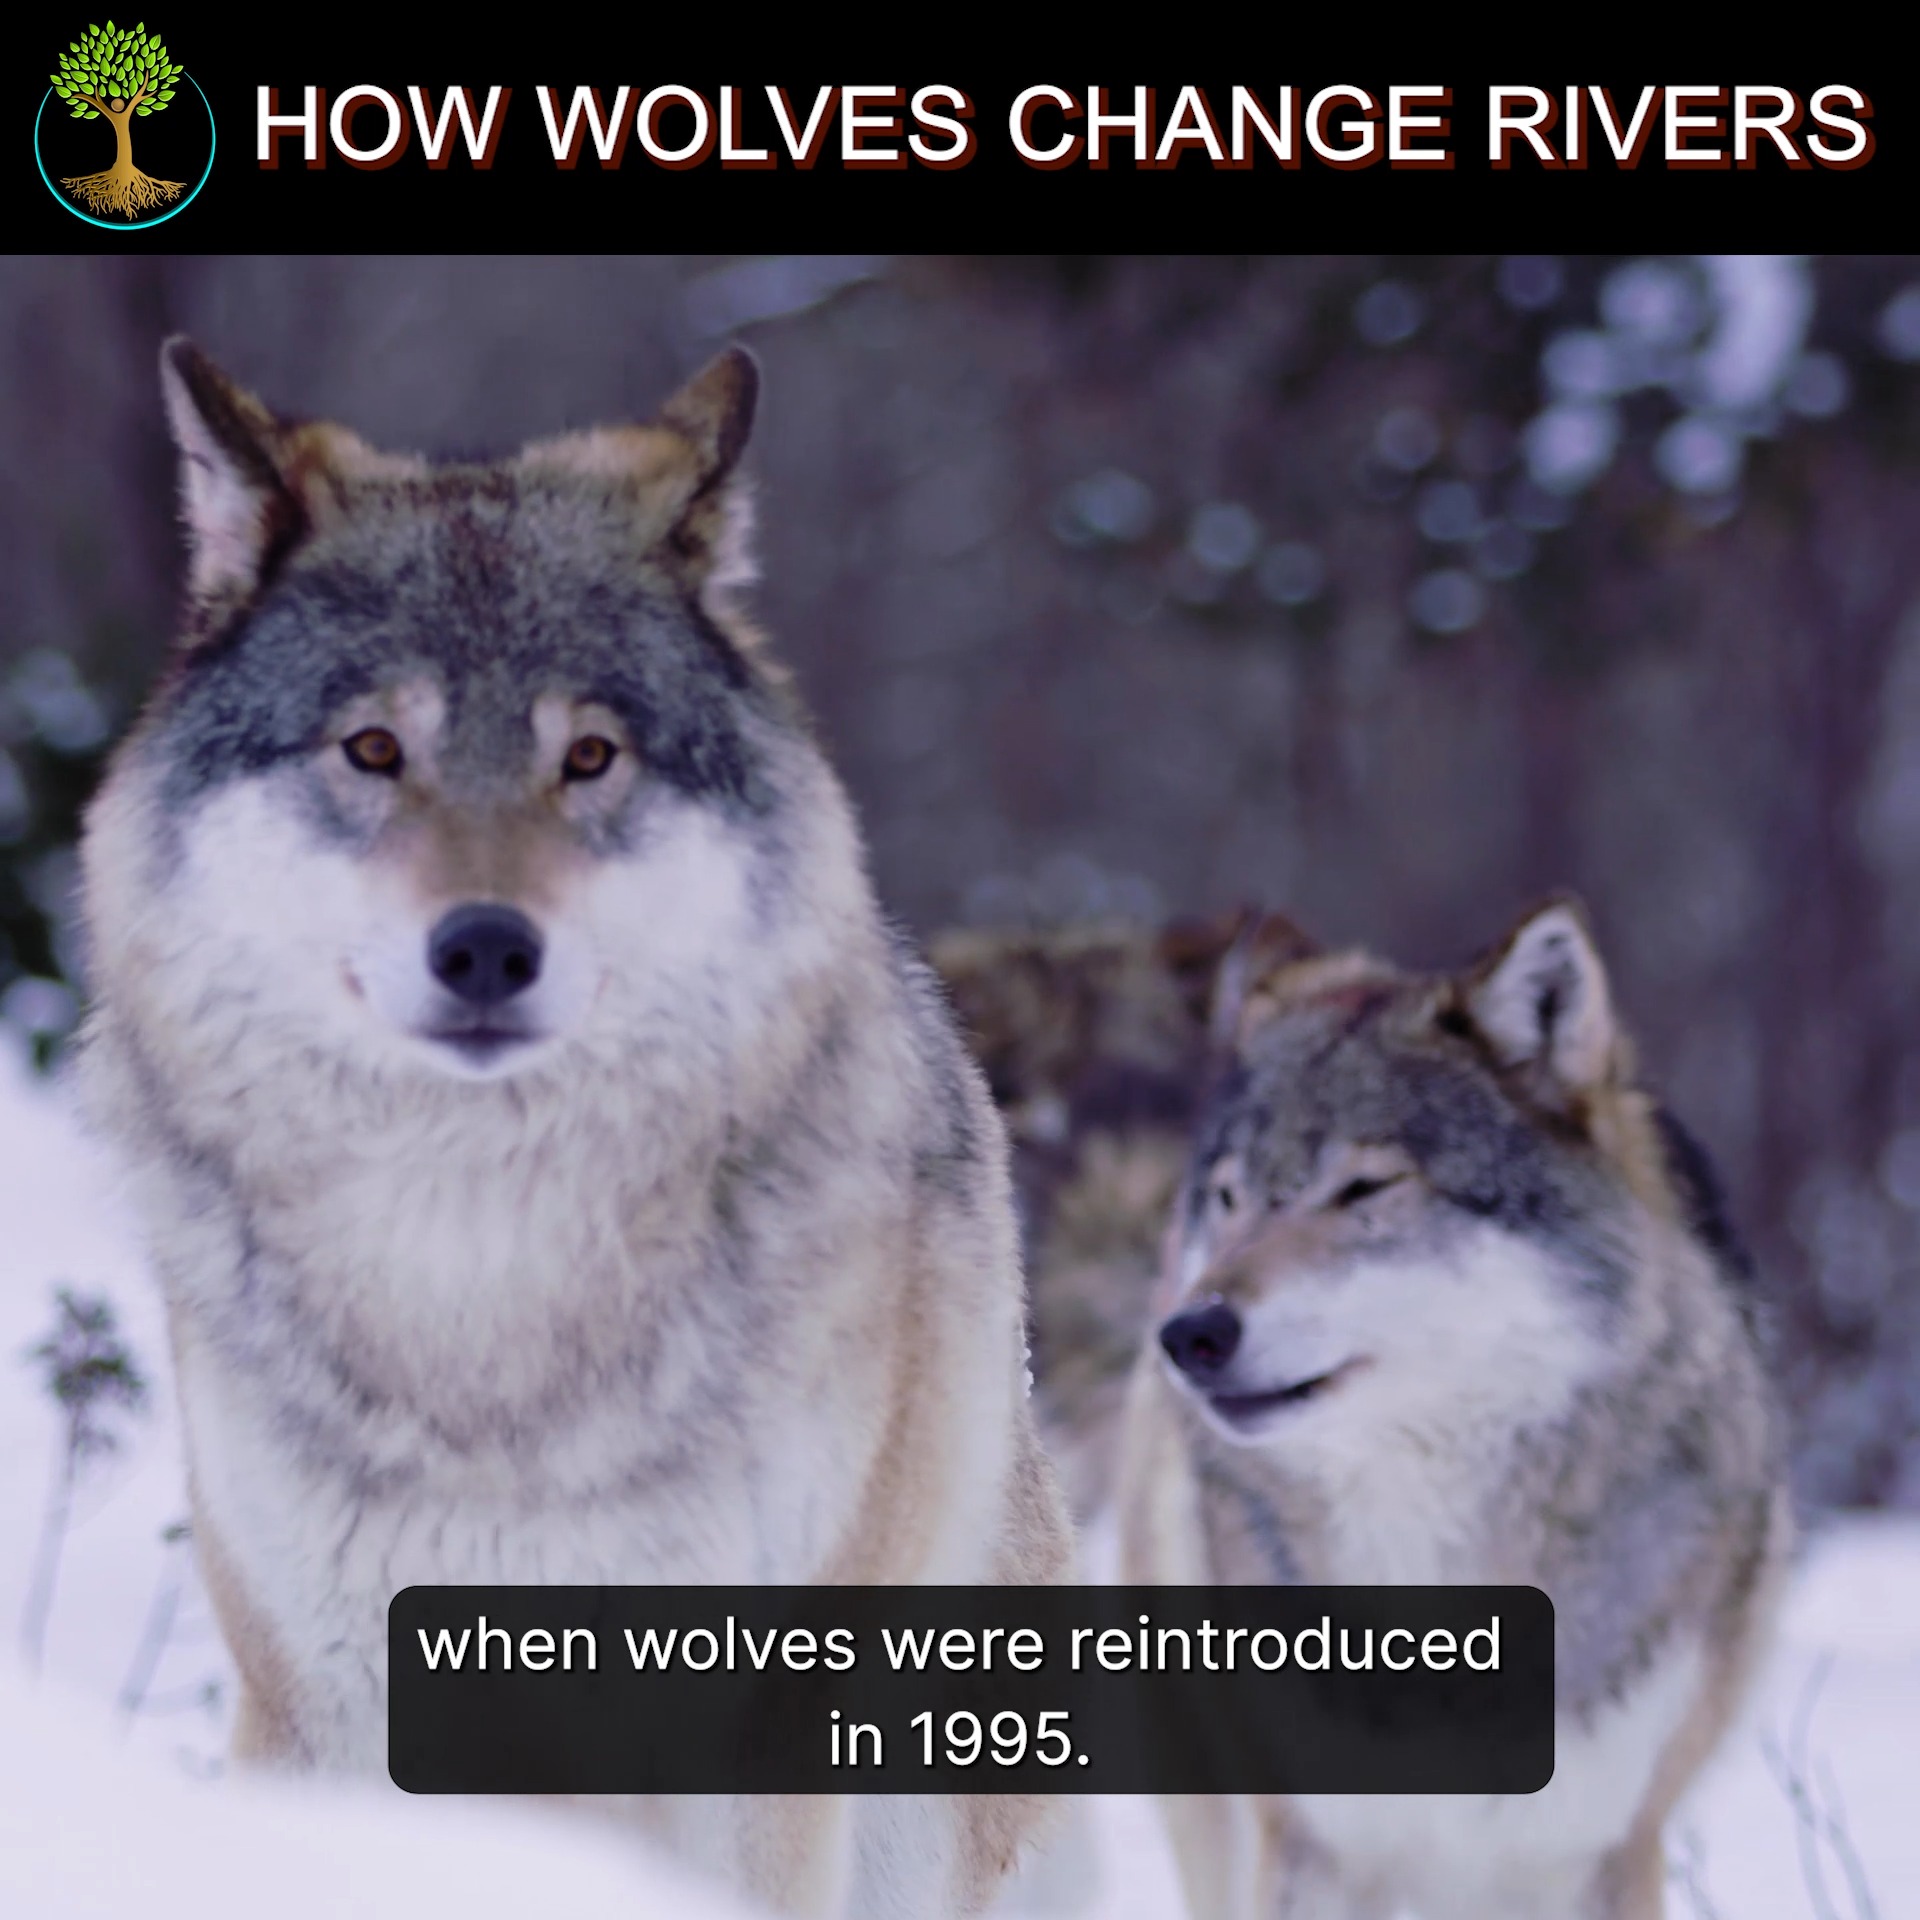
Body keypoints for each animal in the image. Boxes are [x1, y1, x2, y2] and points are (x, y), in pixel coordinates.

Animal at [76, 340, 1072, 1919]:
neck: (480, 1276)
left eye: (590, 757)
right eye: (374, 747)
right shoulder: (319, 1701)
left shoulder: (750, 1735)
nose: (486, 948)